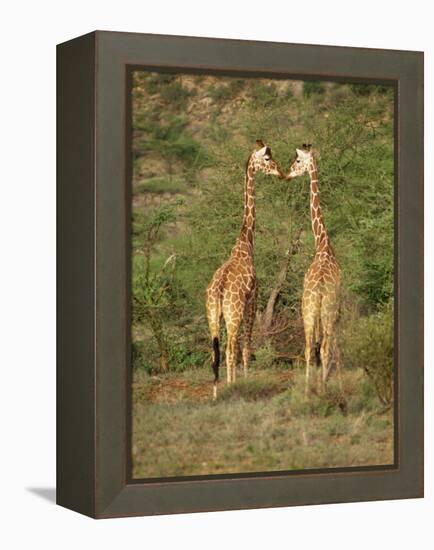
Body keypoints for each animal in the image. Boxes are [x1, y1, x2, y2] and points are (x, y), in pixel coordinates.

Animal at [207, 140, 284, 398]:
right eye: (267, 158)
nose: (280, 172)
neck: (245, 243)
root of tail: (219, 290)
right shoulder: (253, 300)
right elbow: (247, 346)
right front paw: (247, 381)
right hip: (234, 312)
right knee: (231, 349)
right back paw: (232, 388)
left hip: (213, 315)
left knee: (215, 351)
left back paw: (215, 393)